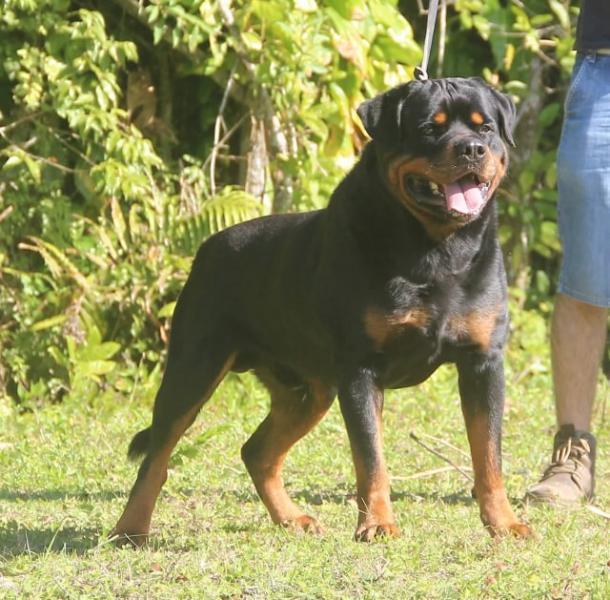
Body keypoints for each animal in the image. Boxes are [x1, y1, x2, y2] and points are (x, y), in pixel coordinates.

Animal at [111, 77, 531, 546]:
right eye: (429, 128)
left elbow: (489, 456)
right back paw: (129, 530)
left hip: (308, 391)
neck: (437, 248)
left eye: (486, 127)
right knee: (158, 455)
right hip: (194, 366)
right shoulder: (361, 369)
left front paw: (504, 523)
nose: (472, 149)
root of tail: (208, 247)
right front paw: (377, 524)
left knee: (257, 451)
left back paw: (291, 518)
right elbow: (371, 459)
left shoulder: (482, 362)